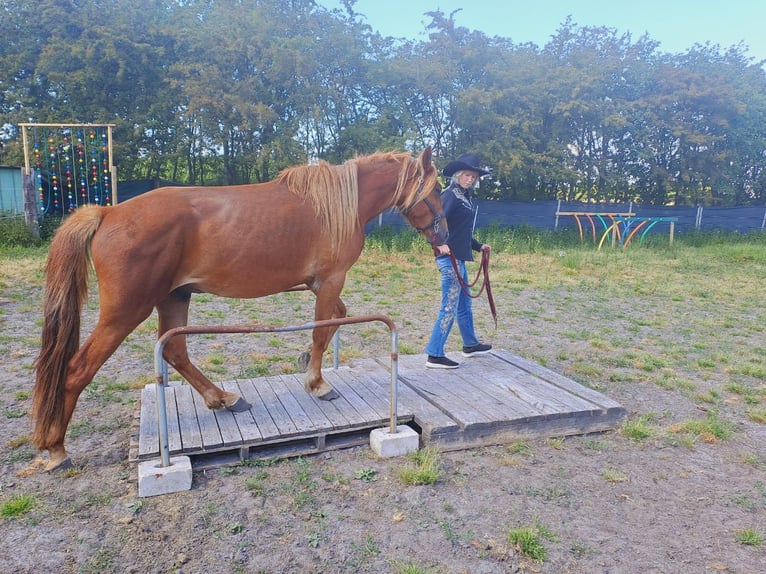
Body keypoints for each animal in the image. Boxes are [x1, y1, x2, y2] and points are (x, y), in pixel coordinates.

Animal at [33, 147, 448, 472]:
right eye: (438, 189)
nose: (444, 236)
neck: (338, 204)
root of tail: (107, 213)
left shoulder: (321, 285)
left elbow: (334, 321)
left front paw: (305, 364)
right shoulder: (331, 281)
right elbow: (321, 329)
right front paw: (317, 384)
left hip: (174, 297)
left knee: (175, 350)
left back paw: (223, 398)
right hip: (126, 312)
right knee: (78, 370)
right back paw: (56, 448)